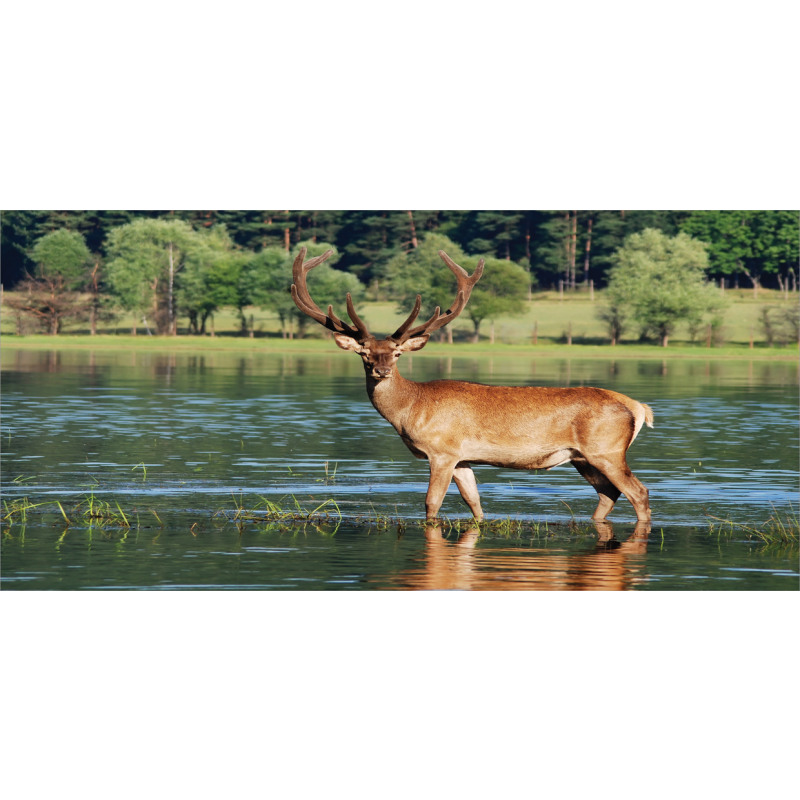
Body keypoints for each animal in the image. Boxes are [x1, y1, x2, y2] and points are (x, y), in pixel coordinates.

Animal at [290, 248, 652, 524]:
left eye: (396, 353)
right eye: (364, 353)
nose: (381, 370)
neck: (411, 409)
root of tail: (638, 407)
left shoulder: (442, 450)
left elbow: (431, 503)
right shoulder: (463, 459)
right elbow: (475, 504)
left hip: (606, 450)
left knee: (638, 492)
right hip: (583, 458)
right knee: (610, 493)